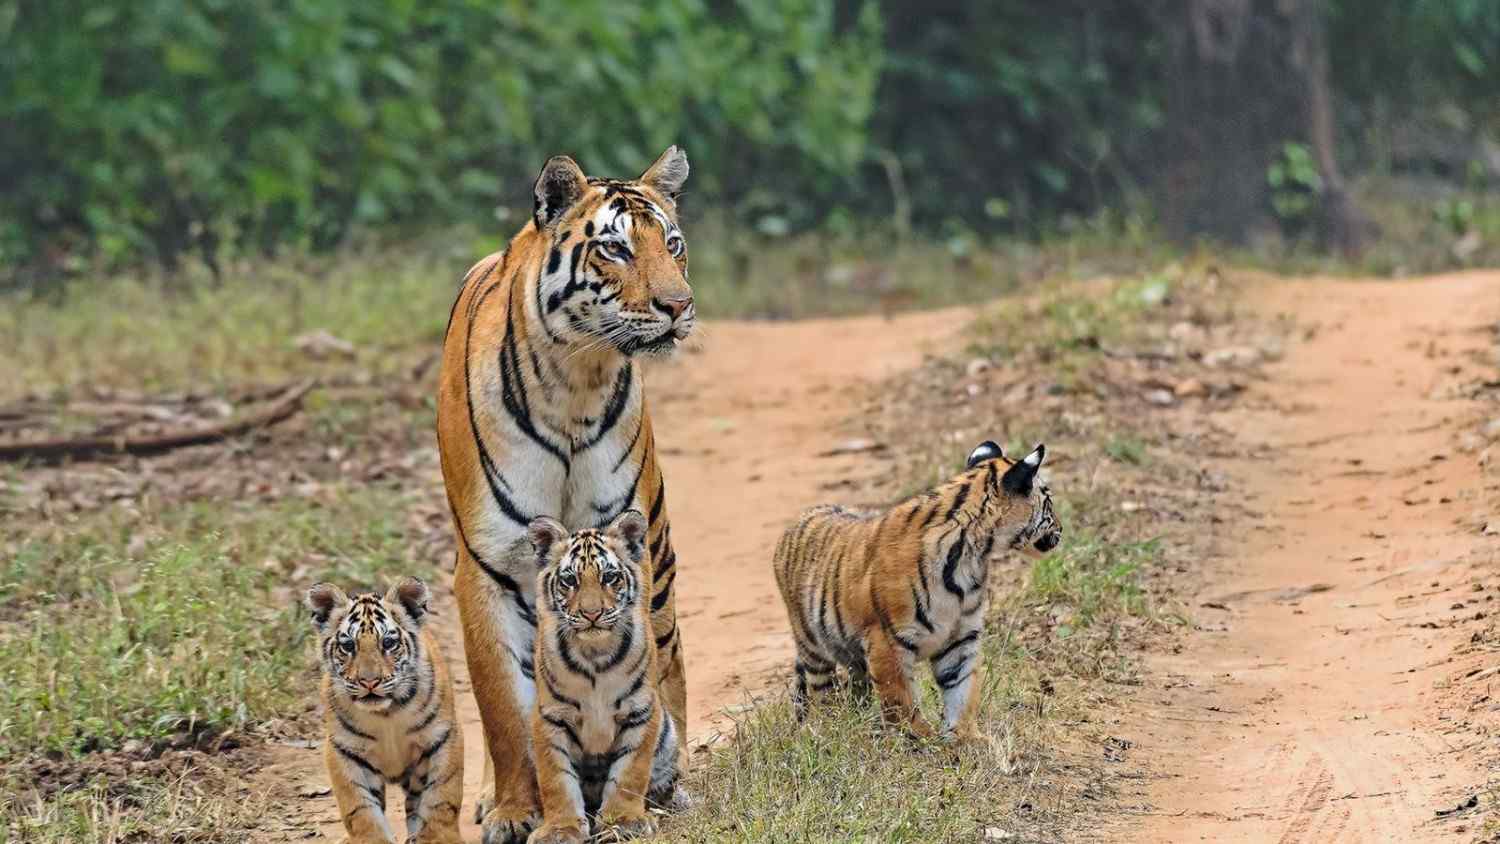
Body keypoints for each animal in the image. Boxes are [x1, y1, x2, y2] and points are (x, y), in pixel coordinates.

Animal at [304, 577, 463, 844]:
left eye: (388, 643)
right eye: (348, 645)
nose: (369, 681)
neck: (386, 713)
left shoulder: (442, 738)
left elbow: (440, 798)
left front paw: (437, 838)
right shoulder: (345, 750)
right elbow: (360, 808)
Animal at [525, 510, 678, 844]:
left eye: (609, 577)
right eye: (570, 580)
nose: (592, 613)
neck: (594, 654)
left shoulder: (640, 711)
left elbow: (630, 772)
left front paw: (623, 821)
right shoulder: (550, 717)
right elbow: (556, 779)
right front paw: (560, 829)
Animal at [772, 440, 1061, 742]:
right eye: (1049, 502)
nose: (1061, 530)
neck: (973, 554)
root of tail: (801, 518)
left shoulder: (961, 637)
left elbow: (962, 688)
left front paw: (965, 736)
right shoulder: (886, 641)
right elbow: (899, 699)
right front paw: (917, 737)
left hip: (851, 658)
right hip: (813, 648)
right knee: (821, 695)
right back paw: (828, 730)